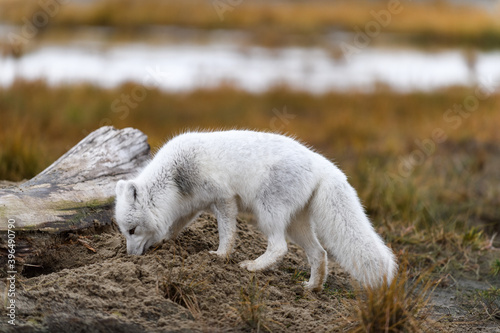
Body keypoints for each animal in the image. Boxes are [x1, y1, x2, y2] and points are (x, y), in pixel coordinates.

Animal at [115, 128, 396, 290]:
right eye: (125, 231)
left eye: (132, 230)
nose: (129, 256)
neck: (176, 177)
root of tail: (322, 163)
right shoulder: (190, 207)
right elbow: (173, 228)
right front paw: (165, 242)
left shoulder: (224, 198)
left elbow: (227, 232)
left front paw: (220, 256)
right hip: (297, 224)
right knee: (319, 253)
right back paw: (312, 287)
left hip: (267, 212)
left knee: (280, 247)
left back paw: (253, 266)